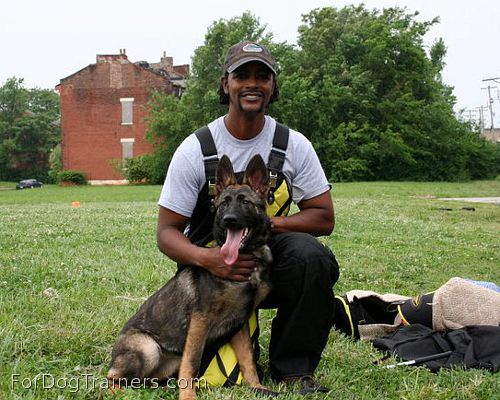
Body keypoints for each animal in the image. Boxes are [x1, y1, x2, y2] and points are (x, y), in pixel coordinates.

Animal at [107, 155, 276, 398]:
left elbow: (247, 360)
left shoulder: (240, 324)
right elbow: (193, 362)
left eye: (245, 202)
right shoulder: (200, 321)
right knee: (112, 378)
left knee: (144, 380)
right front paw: (188, 395)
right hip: (149, 349)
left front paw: (257, 387)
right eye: (223, 203)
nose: (229, 219)